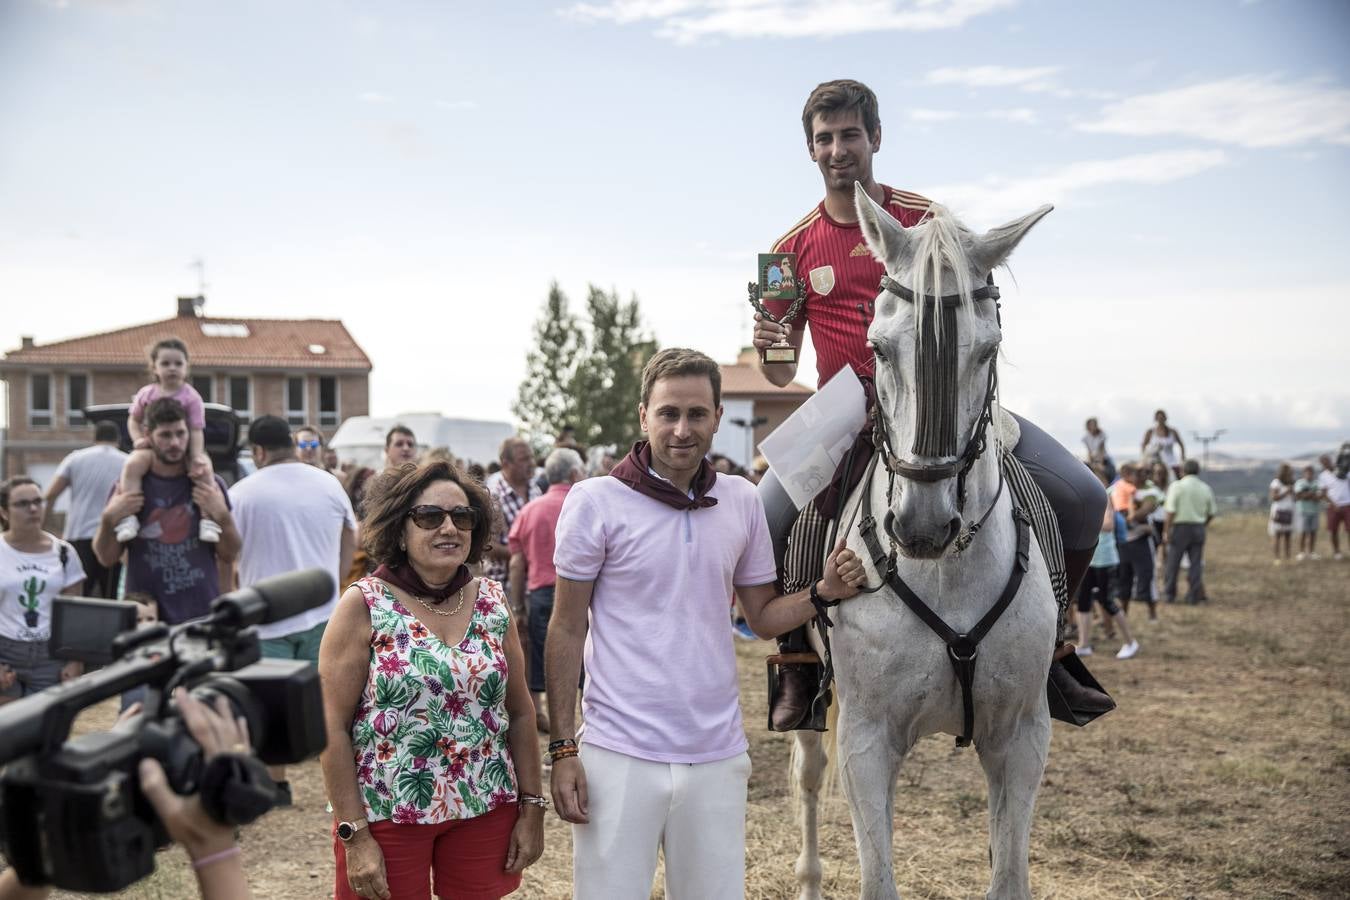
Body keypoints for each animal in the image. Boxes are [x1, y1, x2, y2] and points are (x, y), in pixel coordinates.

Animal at [793, 184, 1058, 900]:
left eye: (986, 351)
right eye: (879, 348)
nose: (921, 527)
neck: (948, 575)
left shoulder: (1021, 736)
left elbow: (1009, 875)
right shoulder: (867, 740)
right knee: (807, 774)